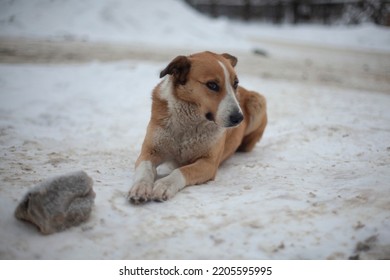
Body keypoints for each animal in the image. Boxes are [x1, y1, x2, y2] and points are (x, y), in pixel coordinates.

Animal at [128, 50, 268, 203]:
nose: (239, 118)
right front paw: (140, 187)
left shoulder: (209, 163)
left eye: (235, 83)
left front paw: (165, 185)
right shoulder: (150, 152)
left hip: (258, 101)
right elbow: (145, 169)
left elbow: (182, 170)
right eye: (212, 85)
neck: (187, 125)